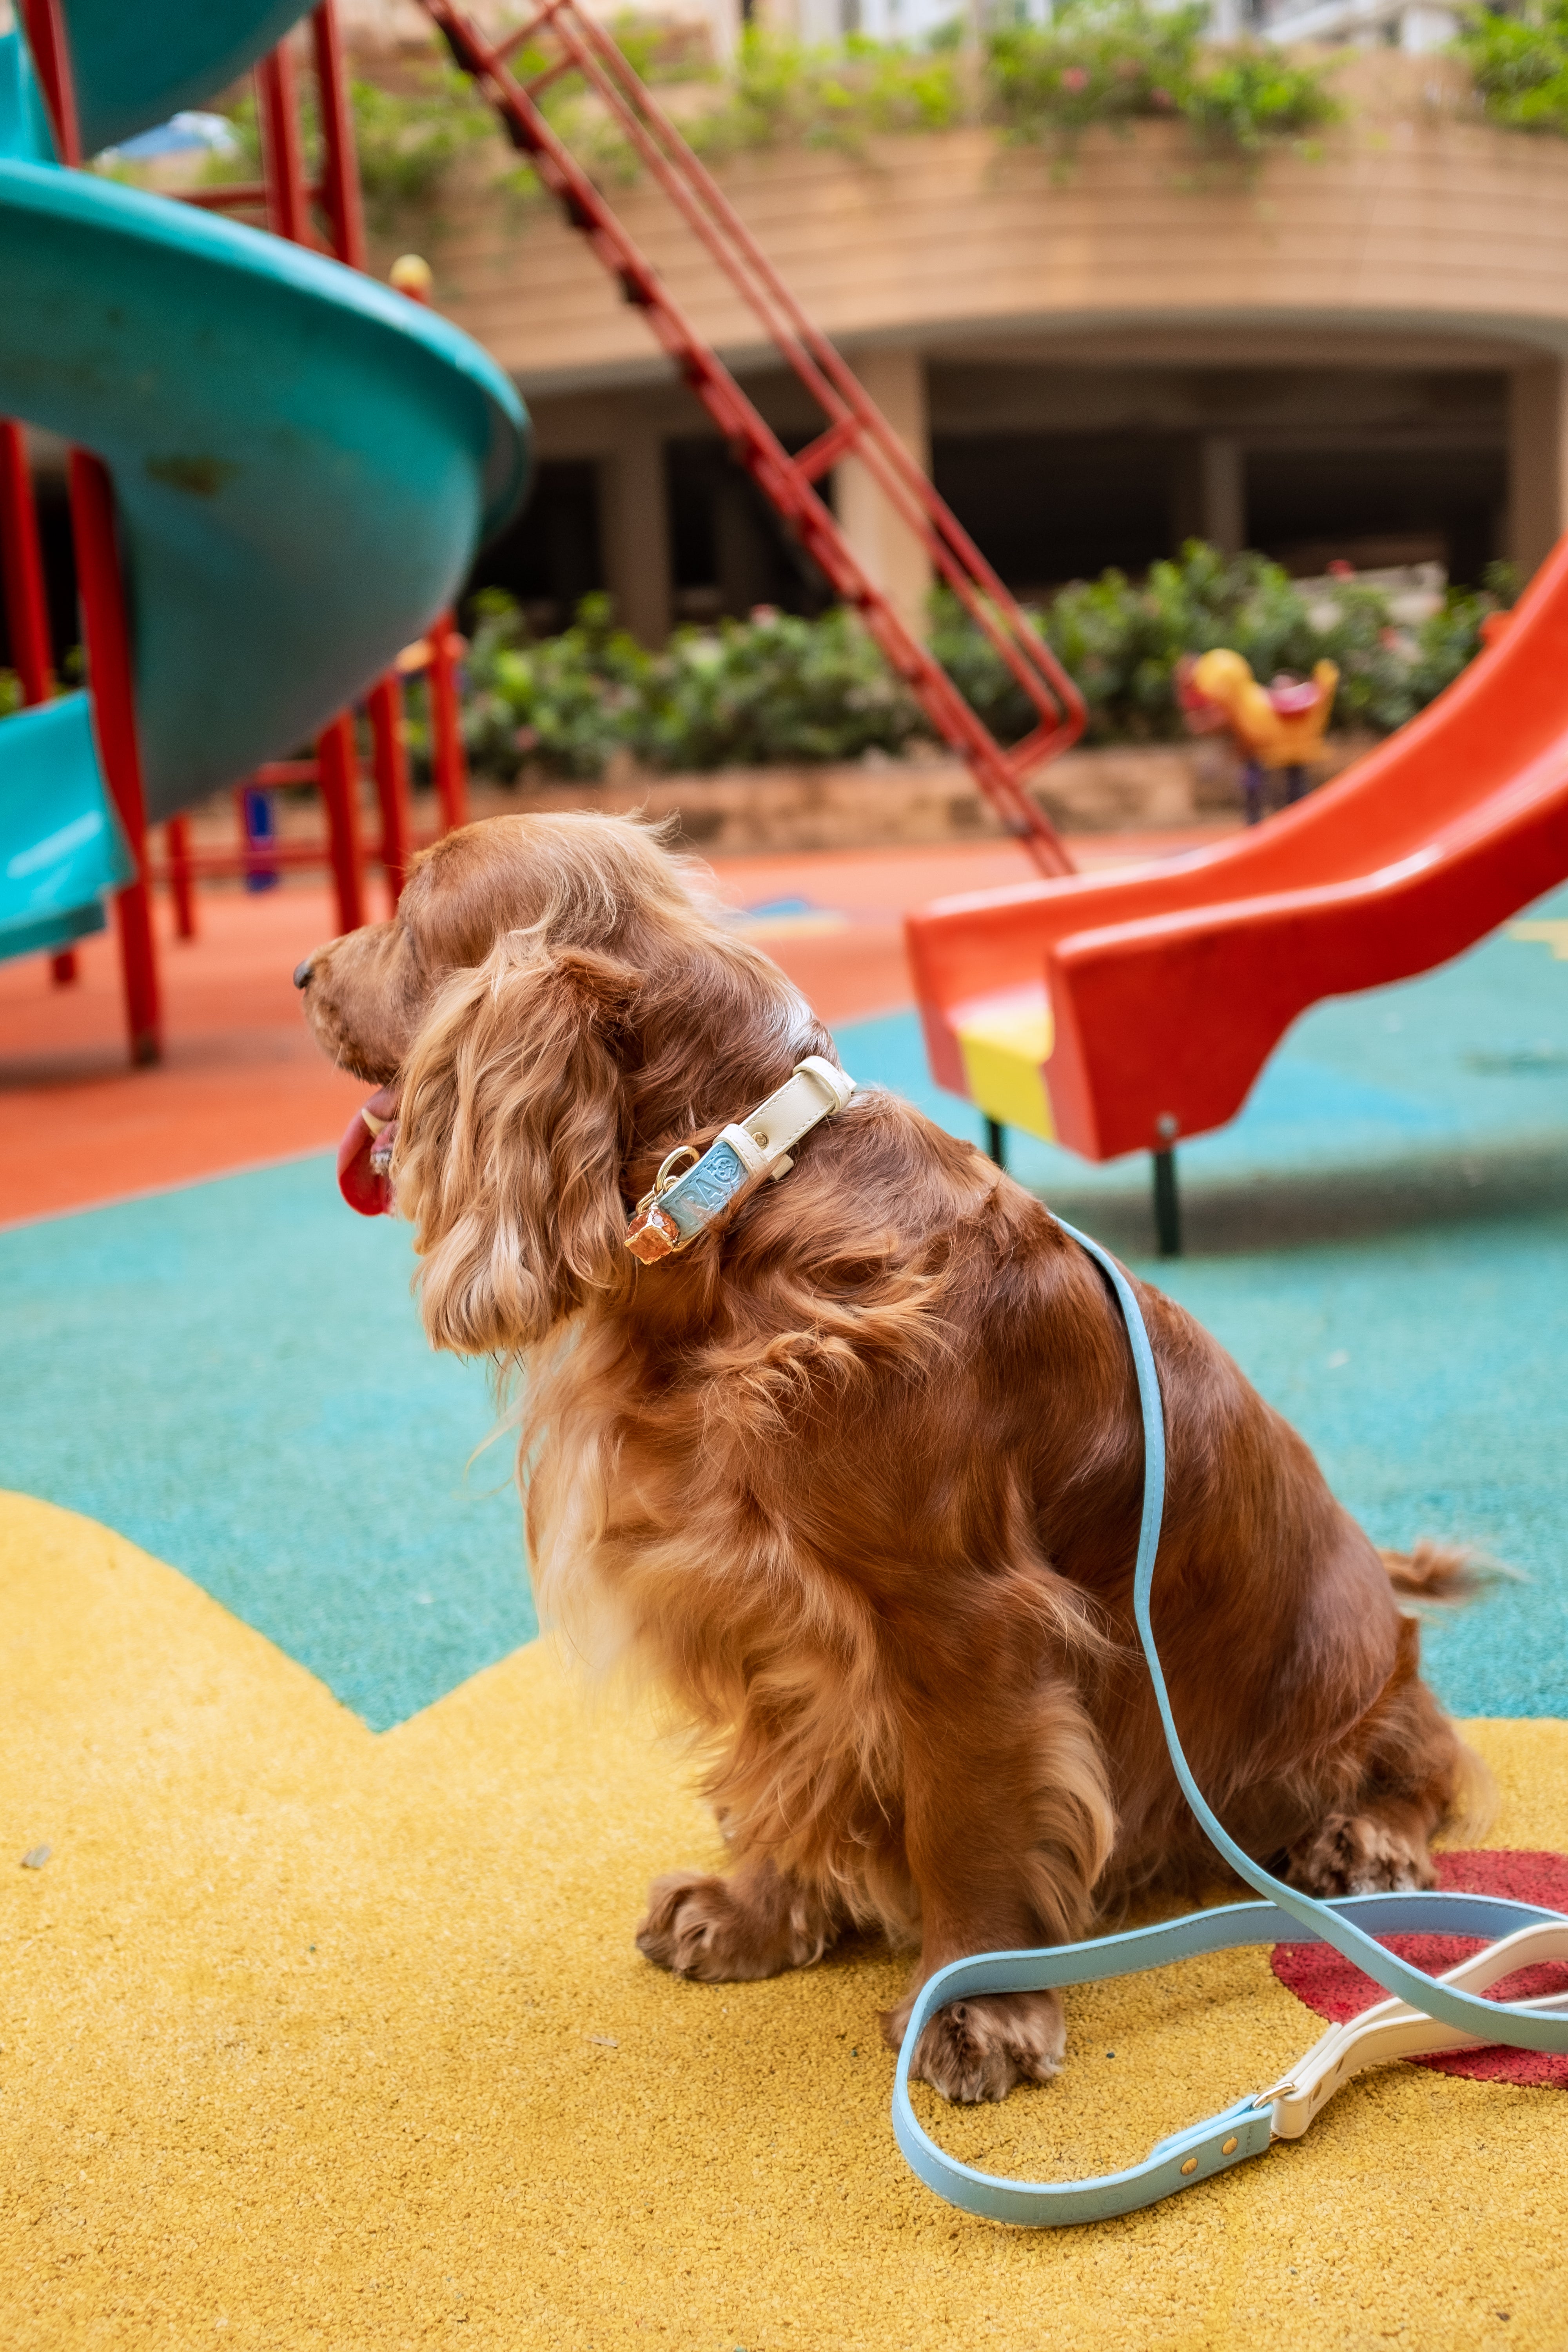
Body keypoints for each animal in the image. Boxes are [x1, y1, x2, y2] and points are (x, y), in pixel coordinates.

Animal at [297, 818, 1486, 2107]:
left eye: (411, 916)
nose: (303, 972)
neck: (739, 1181)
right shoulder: (761, 1601)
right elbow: (783, 1773)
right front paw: (755, 1913)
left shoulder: (960, 1619)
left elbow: (961, 1823)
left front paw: (973, 2010)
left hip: (1337, 1670)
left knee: (1424, 1749)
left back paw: (1361, 1839)